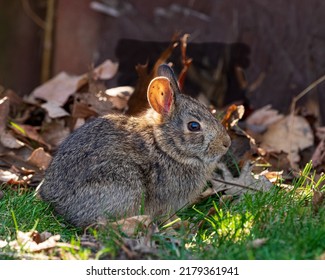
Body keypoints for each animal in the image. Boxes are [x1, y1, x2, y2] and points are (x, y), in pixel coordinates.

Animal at [38, 63, 230, 228]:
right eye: (194, 126)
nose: (226, 143)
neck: (164, 146)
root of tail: (55, 202)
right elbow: (167, 216)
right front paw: (181, 224)